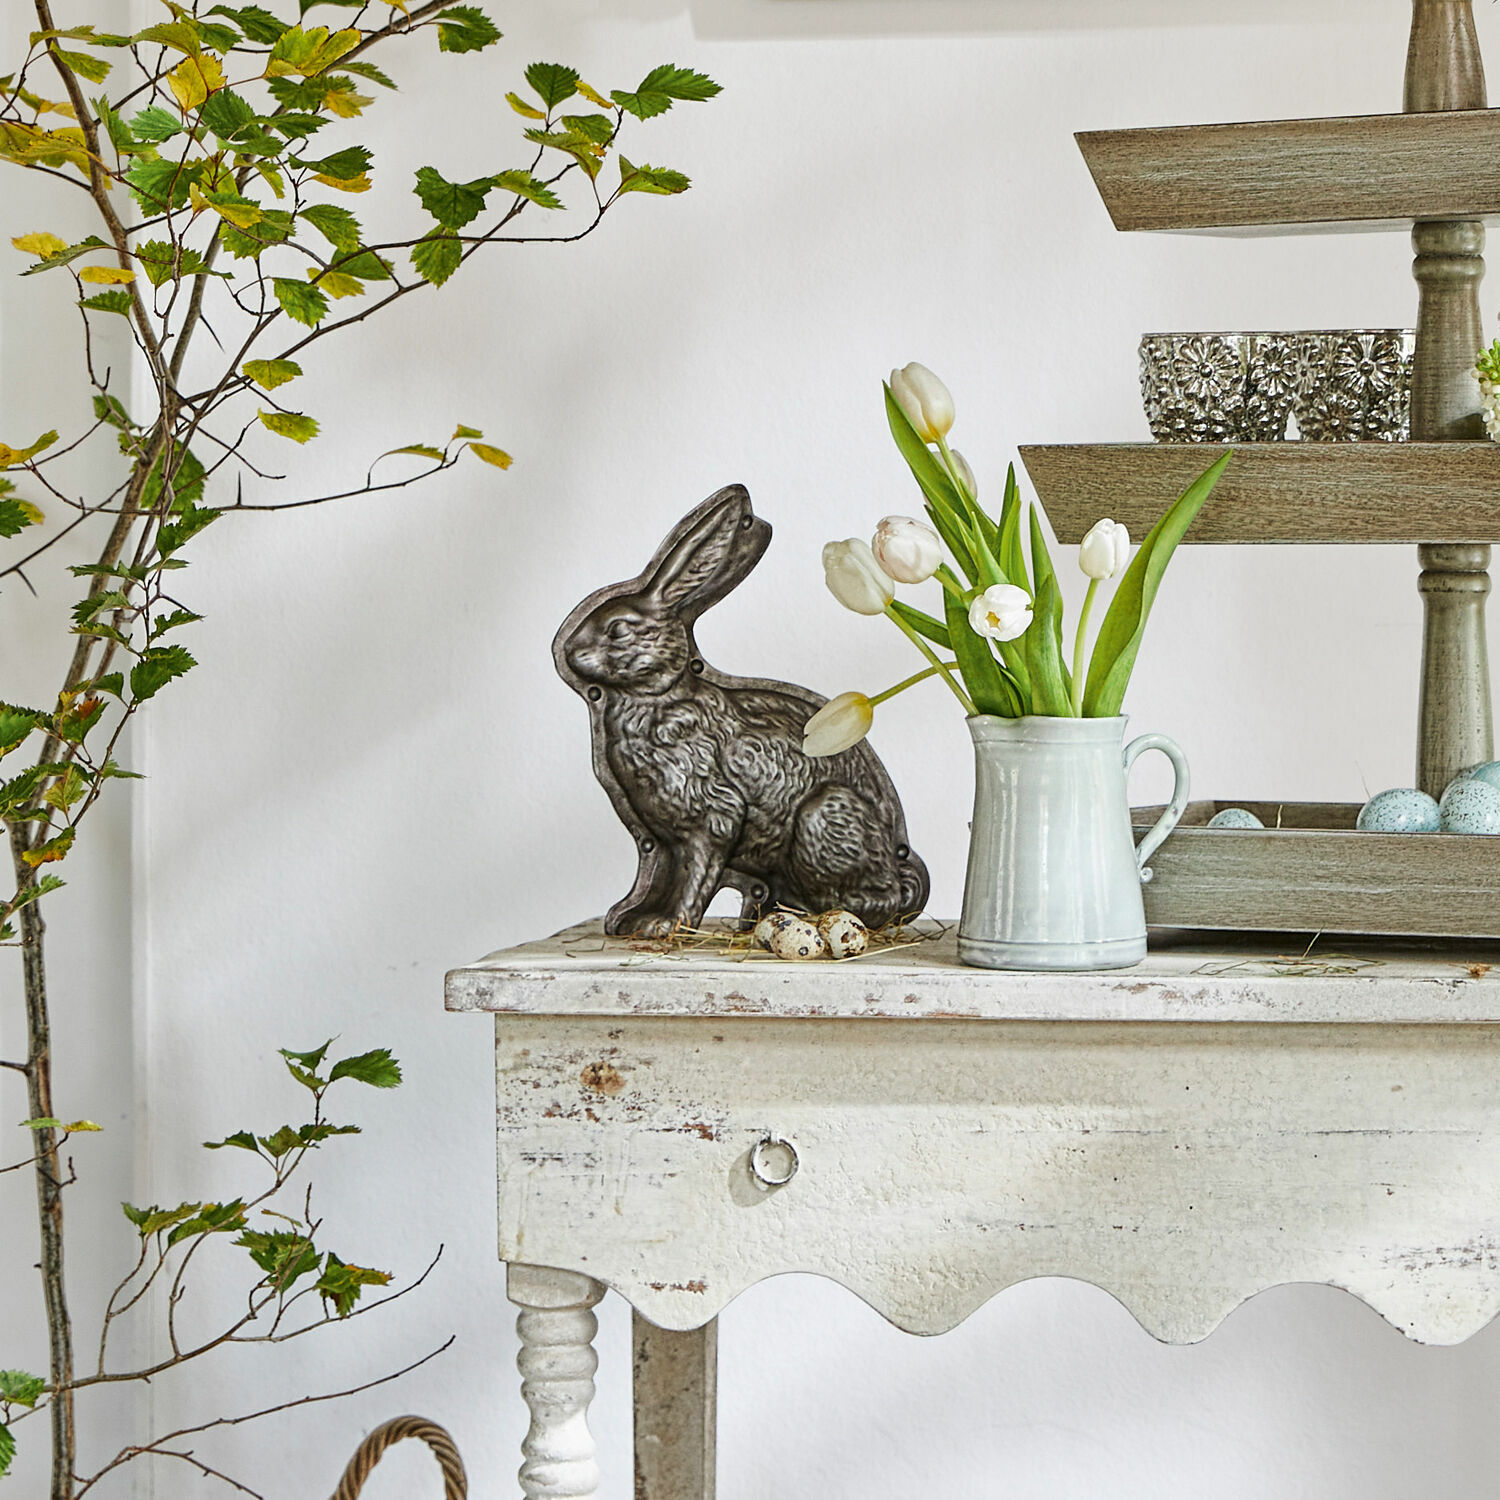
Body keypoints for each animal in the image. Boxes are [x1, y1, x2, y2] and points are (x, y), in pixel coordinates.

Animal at [554, 484, 929, 938]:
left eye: (619, 628)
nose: (570, 652)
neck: (660, 696)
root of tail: (900, 871)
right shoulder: (660, 841)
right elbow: (662, 874)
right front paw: (629, 918)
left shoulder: (713, 815)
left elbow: (695, 875)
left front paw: (667, 924)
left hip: (822, 816)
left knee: (874, 902)